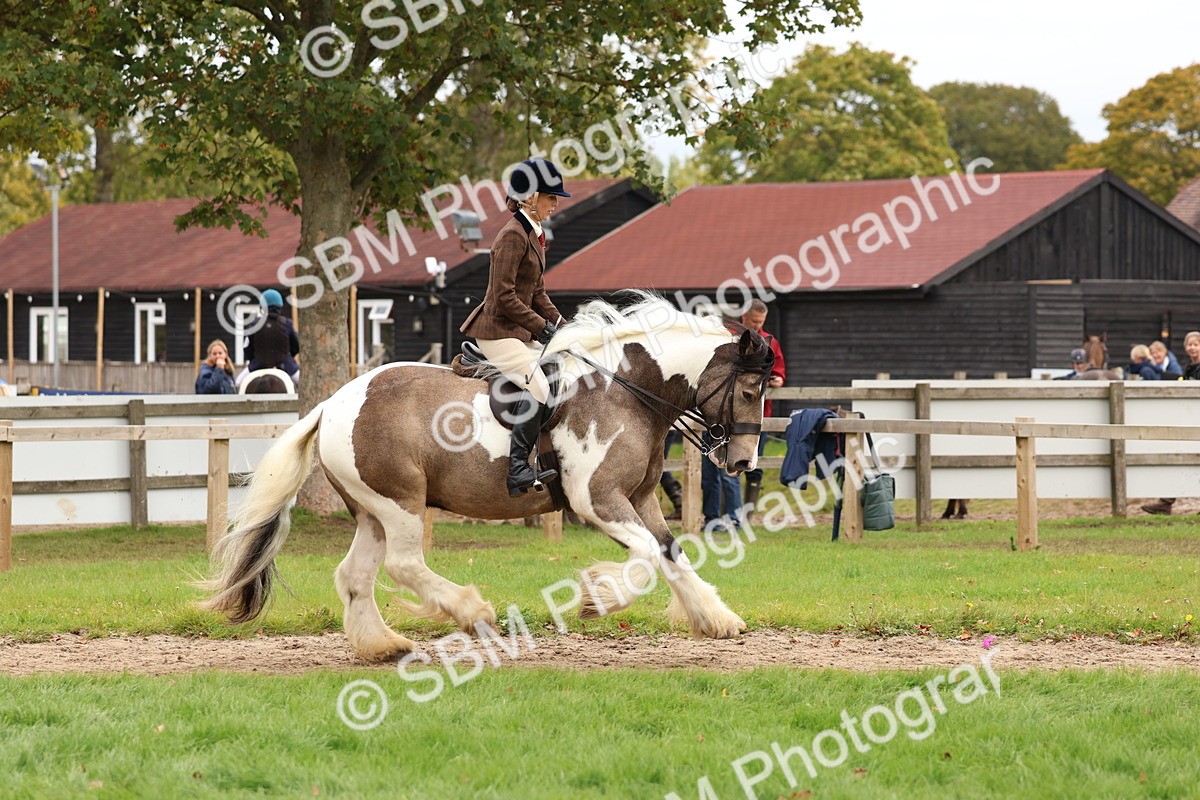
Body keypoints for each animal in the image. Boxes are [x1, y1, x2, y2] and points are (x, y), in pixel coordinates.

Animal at [199, 293, 774, 661]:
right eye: (750, 391)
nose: (744, 463)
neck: (625, 391)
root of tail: (331, 405)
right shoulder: (597, 499)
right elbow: (649, 557)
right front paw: (598, 597)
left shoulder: (643, 499)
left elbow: (671, 553)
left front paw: (715, 618)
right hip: (400, 502)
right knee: (405, 564)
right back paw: (472, 612)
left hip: (372, 510)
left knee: (354, 576)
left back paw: (383, 647)